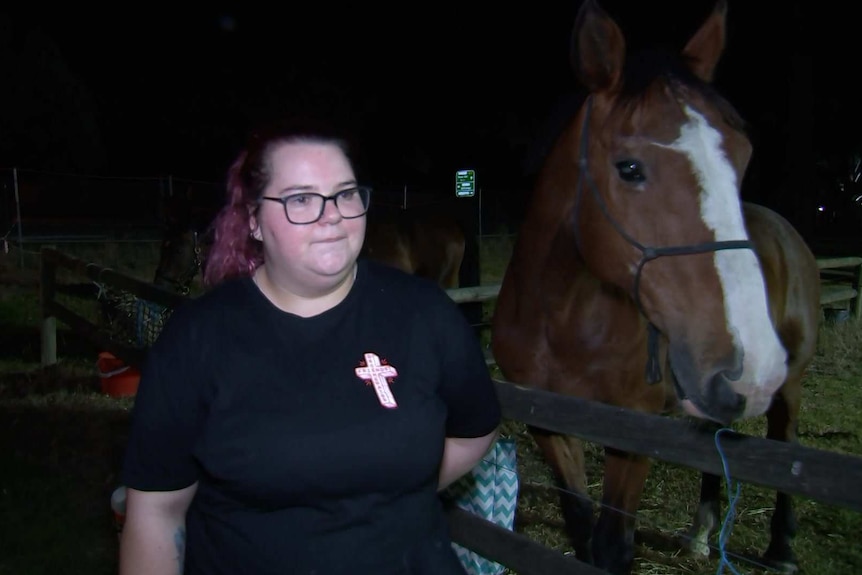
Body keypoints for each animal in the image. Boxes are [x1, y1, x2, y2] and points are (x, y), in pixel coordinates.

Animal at [492, 1, 824, 575]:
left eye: (743, 156)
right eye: (629, 168)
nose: (752, 360)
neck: (561, 321)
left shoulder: (634, 431)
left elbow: (612, 547)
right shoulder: (549, 426)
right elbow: (581, 528)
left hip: (789, 385)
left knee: (786, 440)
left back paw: (781, 549)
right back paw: (701, 533)